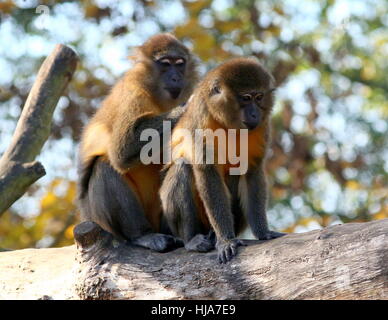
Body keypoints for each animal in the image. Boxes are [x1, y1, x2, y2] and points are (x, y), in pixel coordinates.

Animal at [79, 33, 200, 252]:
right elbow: (122, 150)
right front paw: (187, 106)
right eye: (165, 64)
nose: (176, 77)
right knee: (103, 166)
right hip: (104, 223)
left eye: (180, 64)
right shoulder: (133, 91)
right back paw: (142, 235)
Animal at [160, 57, 284, 262]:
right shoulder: (202, 119)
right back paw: (191, 240)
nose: (254, 114)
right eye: (246, 98)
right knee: (182, 167)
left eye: (258, 97)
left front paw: (263, 232)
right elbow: (207, 172)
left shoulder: (262, 127)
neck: (229, 125)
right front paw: (226, 240)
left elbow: (252, 170)